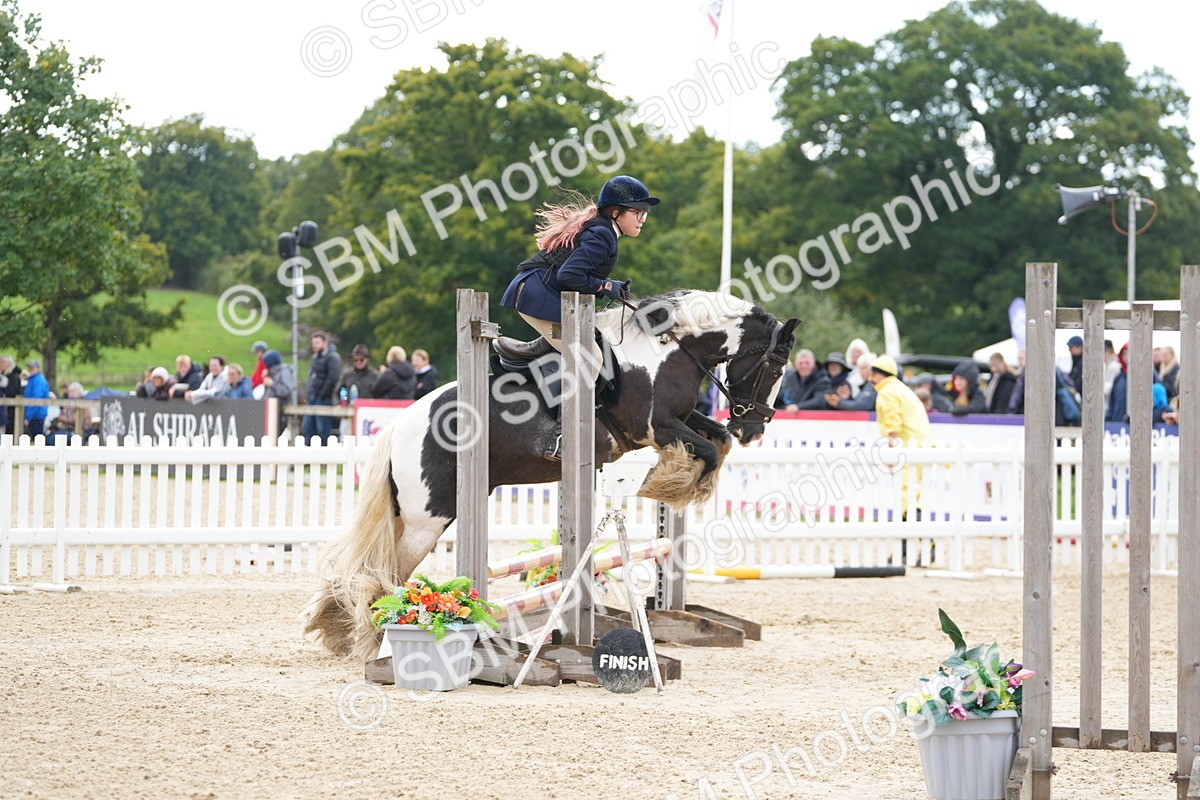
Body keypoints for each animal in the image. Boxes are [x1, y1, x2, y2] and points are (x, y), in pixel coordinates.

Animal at [302, 289, 800, 660]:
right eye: (774, 367)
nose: (755, 428)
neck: (666, 350)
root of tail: (401, 426)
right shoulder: (654, 426)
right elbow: (708, 451)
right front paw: (669, 482)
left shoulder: (680, 420)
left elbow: (717, 441)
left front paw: (678, 479)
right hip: (429, 518)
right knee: (387, 574)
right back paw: (376, 637)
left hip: (412, 513)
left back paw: (340, 627)